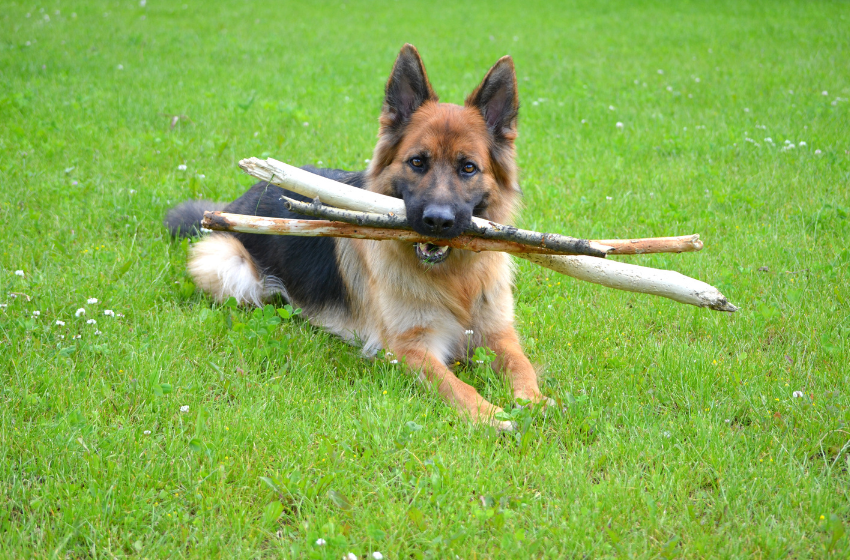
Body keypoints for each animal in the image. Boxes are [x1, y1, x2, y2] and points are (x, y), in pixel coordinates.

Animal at [167, 44, 544, 428]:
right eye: (417, 162)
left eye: (468, 167)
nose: (437, 221)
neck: (455, 280)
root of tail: (243, 197)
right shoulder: (412, 348)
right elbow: (456, 386)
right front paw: (491, 415)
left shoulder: (498, 334)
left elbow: (523, 366)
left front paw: (535, 402)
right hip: (229, 266)